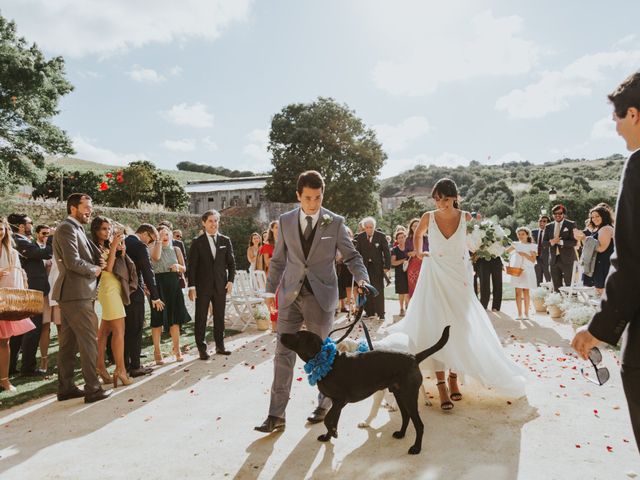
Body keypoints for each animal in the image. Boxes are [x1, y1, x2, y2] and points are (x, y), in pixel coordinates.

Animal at [280, 326, 450, 454]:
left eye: (297, 335)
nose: (281, 333)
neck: (328, 362)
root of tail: (413, 357)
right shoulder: (337, 404)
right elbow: (332, 420)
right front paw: (329, 435)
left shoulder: (340, 400)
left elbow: (328, 419)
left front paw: (333, 433)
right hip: (400, 395)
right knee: (406, 416)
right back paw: (401, 434)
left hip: (408, 396)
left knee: (419, 424)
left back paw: (416, 448)